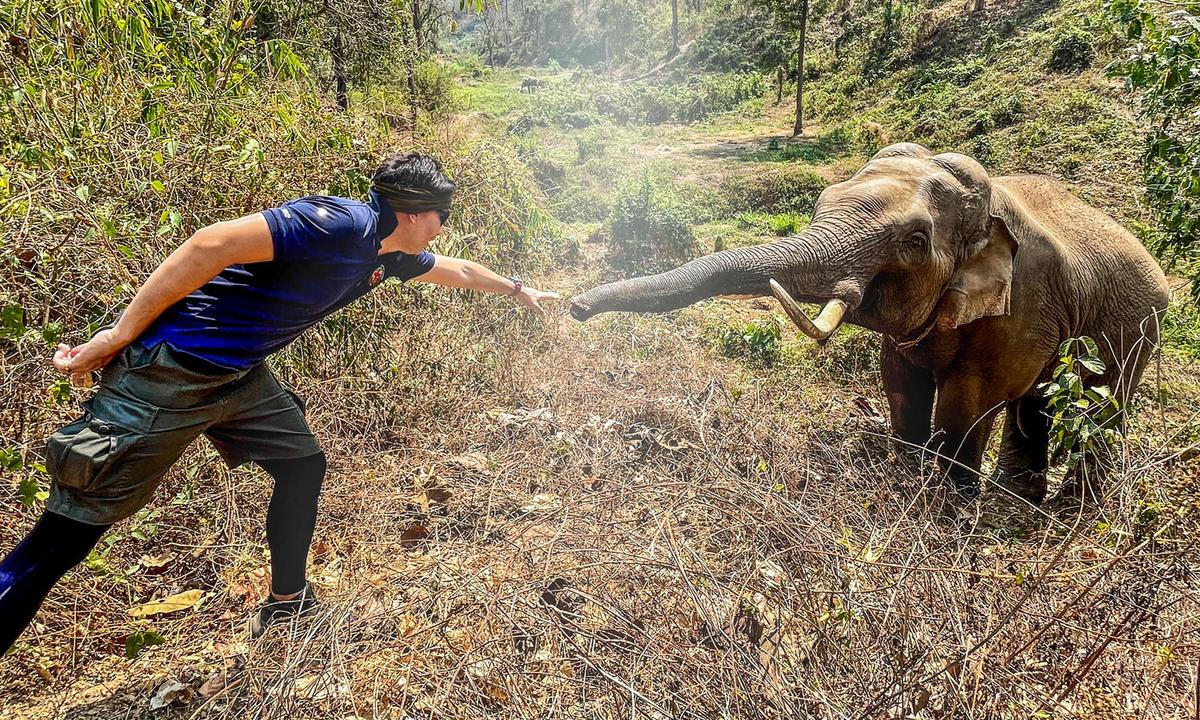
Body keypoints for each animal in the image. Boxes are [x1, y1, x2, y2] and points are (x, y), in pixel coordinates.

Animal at [570, 143, 1170, 502]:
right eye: (821, 202)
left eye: (915, 241)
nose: (575, 307)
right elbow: (900, 382)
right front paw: (908, 473)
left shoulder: (1022, 305)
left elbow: (969, 401)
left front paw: (949, 504)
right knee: (1037, 404)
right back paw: (1022, 498)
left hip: (1139, 327)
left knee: (1104, 407)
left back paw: (1067, 506)